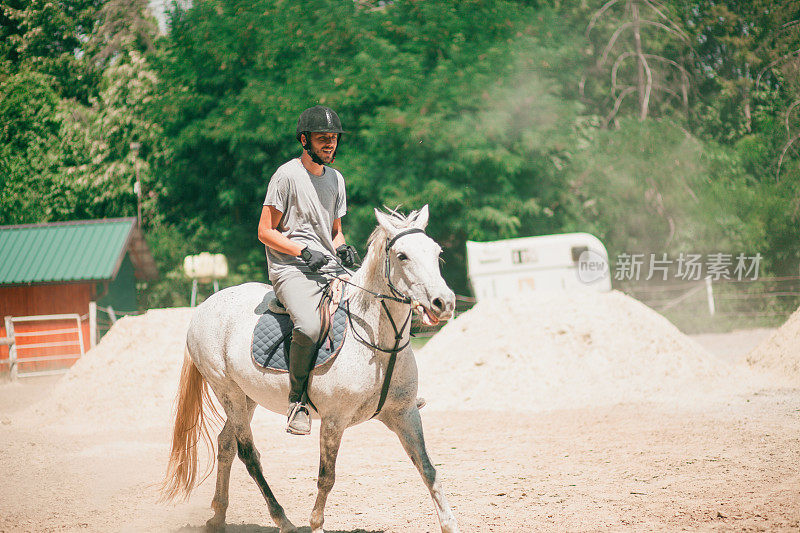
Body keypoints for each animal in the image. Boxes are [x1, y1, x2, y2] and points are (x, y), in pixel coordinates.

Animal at [162, 206, 460, 532]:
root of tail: (205, 306)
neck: (376, 341)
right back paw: (282, 519)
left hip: (246, 398)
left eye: (437, 253)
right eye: (402, 256)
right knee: (248, 454)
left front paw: (449, 523)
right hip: (228, 393)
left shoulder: (405, 414)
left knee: (226, 444)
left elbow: (428, 469)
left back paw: (218, 516)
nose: (443, 302)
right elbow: (326, 477)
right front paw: (316, 523)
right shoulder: (333, 421)